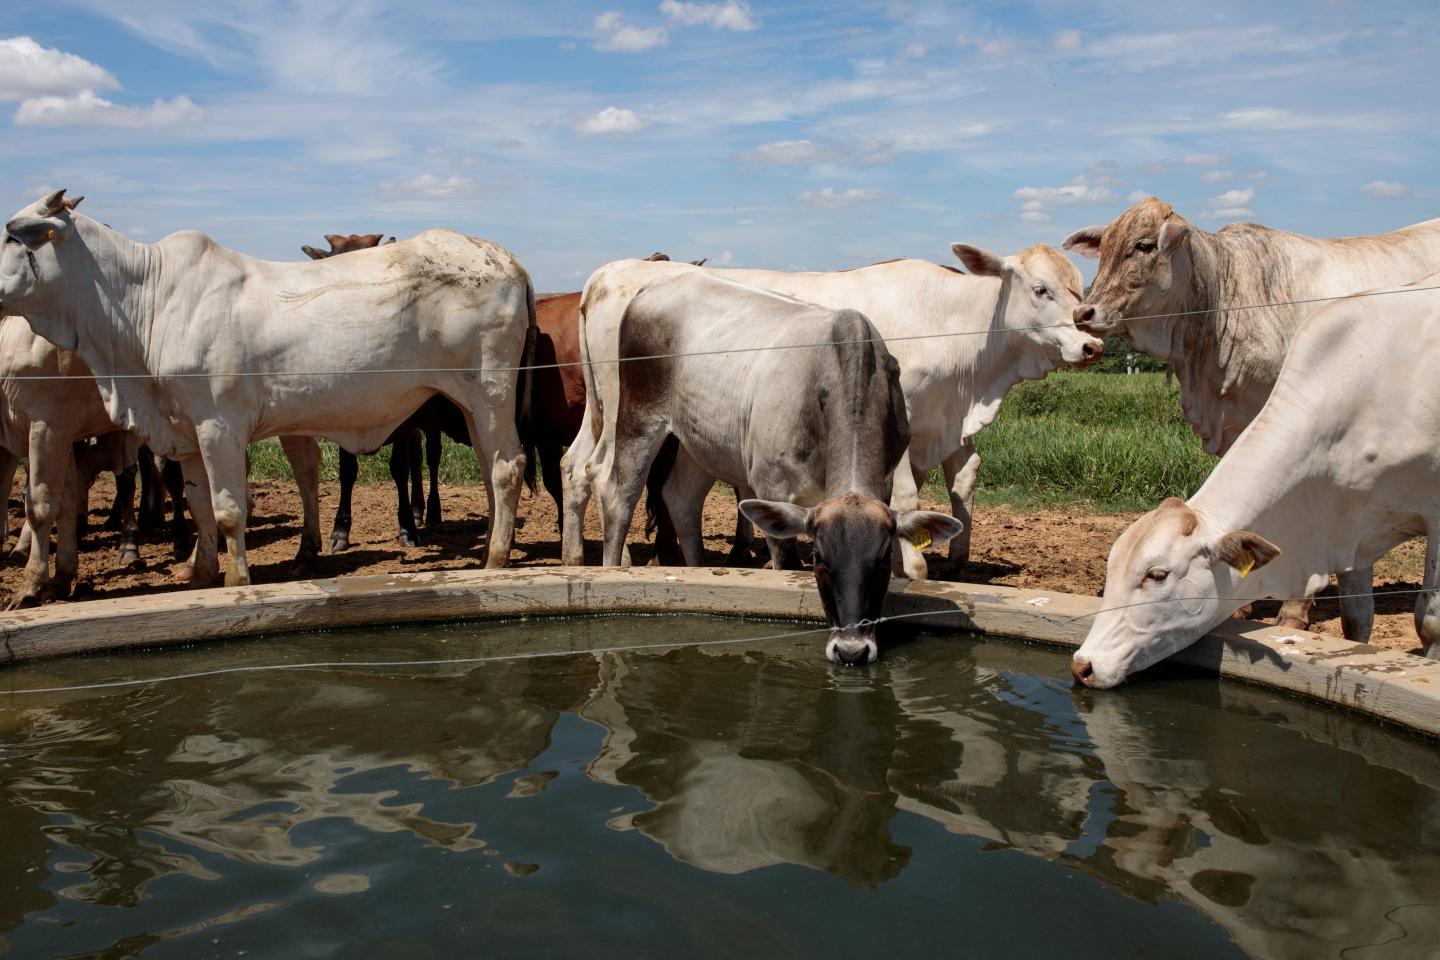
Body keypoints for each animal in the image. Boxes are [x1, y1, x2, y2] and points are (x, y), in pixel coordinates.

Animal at [0, 189, 533, 587]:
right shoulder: (186, 432)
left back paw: (495, 560)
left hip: (489, 392)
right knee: (489, 468)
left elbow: (228, 510)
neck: (148, 300)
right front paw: (201, 572)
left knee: (507, 467)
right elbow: (198, 506)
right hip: (470, 405)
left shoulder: (219, 425)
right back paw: (493, 547)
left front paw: (237, 581)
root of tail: (505, 258)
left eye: (13, 234)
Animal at [562, 244, 1102, 576]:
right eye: (1041, 289)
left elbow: (964, 479)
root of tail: (609, 275)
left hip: (644, 421)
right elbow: (906, 497)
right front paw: (916, 567)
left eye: (1079, 288)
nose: (1091, 344)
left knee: (582, 470)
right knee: (605, 476)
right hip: (626, 413)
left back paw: (577, 558)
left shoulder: (947, 425)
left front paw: (952, 559)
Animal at [596, 271, 963, 665]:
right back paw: (610, 569)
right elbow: (785, 565)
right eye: (818, 556)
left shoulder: (887, 477)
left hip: (699, 440)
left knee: (681, 498)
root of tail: (653, 287)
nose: (851, 650)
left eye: (881, 558)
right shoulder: (772, 488)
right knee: (619, 495)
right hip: (637, 415)